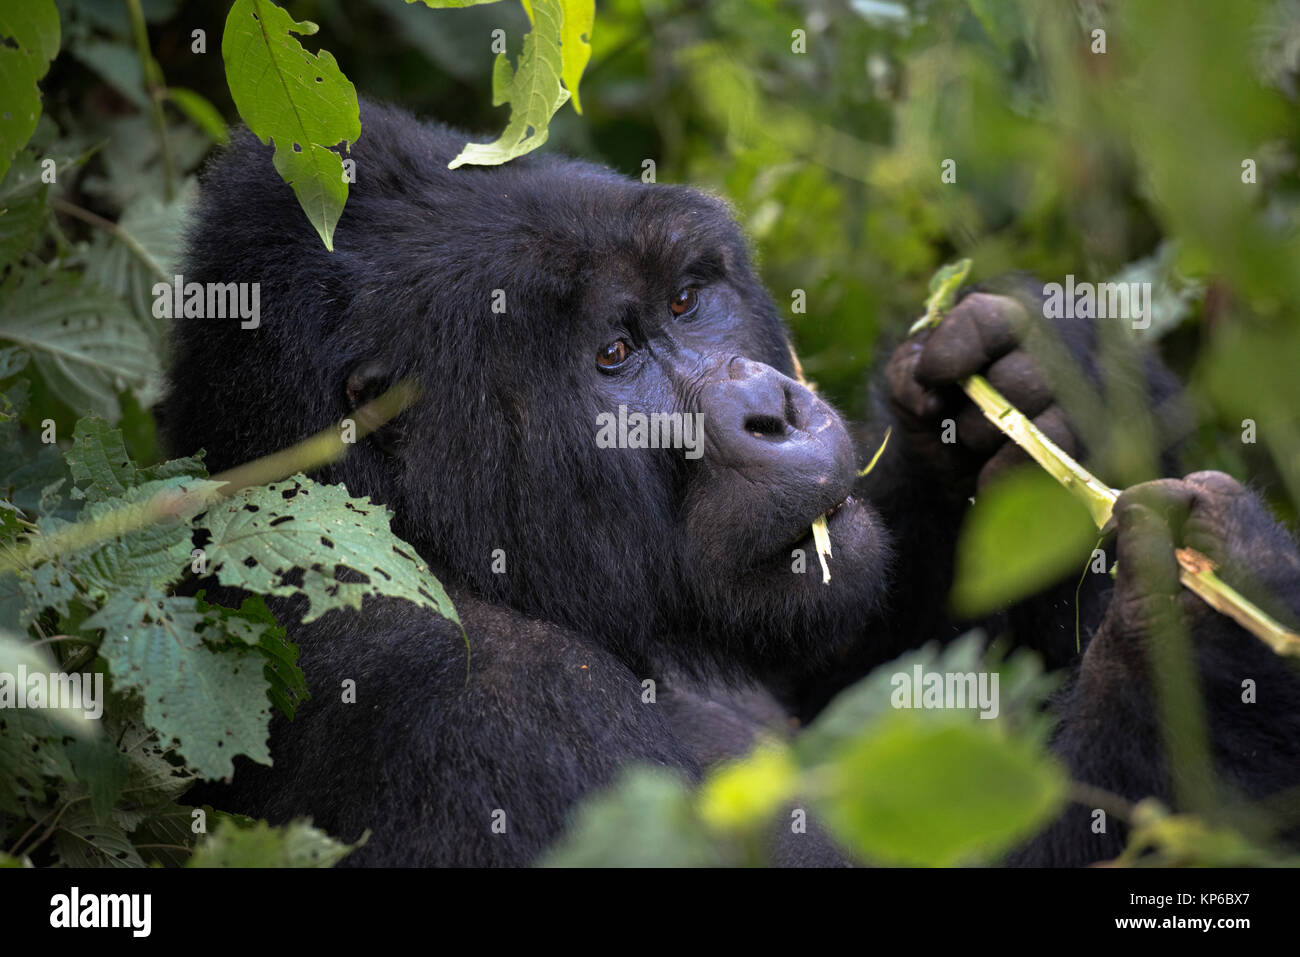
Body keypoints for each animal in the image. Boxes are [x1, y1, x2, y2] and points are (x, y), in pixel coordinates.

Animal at [167, 100, 1300, 863]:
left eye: (685, 298)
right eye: (614, 355)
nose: (772, 408)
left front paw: (1033, 387)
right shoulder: (457, 695)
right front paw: (1208, 636)